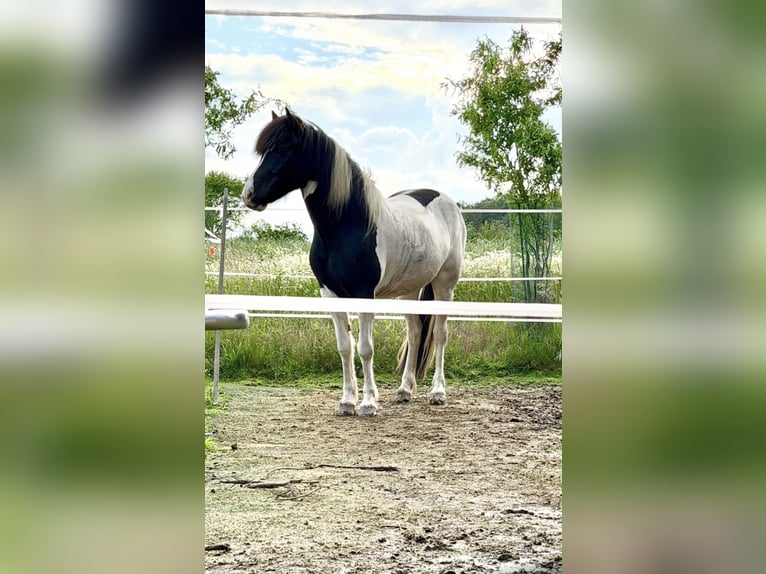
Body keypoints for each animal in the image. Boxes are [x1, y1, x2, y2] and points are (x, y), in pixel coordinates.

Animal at [242, 109, 466, 417]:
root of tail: (448, 202)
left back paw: (438, 392)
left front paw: (369, 403)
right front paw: (347, 401)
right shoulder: (330, 294)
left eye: (284, 149)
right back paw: (404, 390)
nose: (249, 194)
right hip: (409, 289)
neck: (347, 225)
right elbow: (345, 347)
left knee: (441, 333)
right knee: (415, 331)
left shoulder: (363, 294)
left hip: (445, 283)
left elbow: (365, 348)